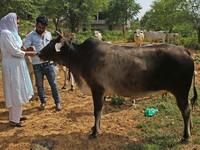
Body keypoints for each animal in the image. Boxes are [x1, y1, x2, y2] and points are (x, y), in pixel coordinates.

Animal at [37, 31, 197, 141]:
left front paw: (94, 132)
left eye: (51, 44)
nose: (38, 53)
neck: (82, 58)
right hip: (183, 93)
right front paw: (96, 127)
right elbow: (100, 112)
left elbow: (96, 112)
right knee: (189, 106)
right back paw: (190, 129)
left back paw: (185, 136)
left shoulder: (97, 90)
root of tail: (184, 50)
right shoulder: (102, 93)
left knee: (186, 111)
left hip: (181, 92)